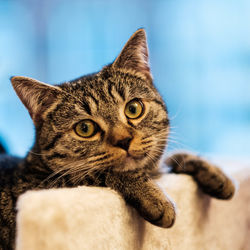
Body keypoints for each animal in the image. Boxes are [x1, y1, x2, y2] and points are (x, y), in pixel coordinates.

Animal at [0, 28, 234, 248]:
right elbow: (97, 173)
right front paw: (154, 197)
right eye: (85, 128)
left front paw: (215, 173)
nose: (124, 141)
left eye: (133, 108)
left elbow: (172, 158)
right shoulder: (37, 193)